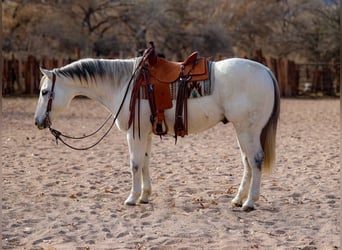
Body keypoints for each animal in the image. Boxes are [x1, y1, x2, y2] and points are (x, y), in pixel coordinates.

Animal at [34, 56, 280, 211]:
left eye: (45, 92)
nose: (38, 121)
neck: (125, 84)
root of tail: (266, 70)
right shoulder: (146, 133)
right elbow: (145, 162)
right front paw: (144, 196)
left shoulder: (134, 133)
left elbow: (134, 164)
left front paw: (131, 198)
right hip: (242, 131)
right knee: (247, 162)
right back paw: (238, 199)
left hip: (248, 130)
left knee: (256, 160)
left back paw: (249, 203)